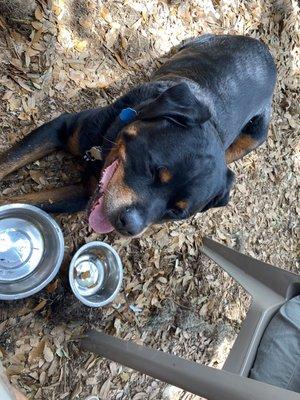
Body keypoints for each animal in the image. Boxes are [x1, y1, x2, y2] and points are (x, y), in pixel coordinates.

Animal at [0, 34, 276, 236]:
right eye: (153, 169)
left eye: (175, 212)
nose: (129, 226)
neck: (103, 149)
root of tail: (267, 53)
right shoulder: (61, 127)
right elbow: (10, 160)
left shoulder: (83, 193)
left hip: (255, 136)